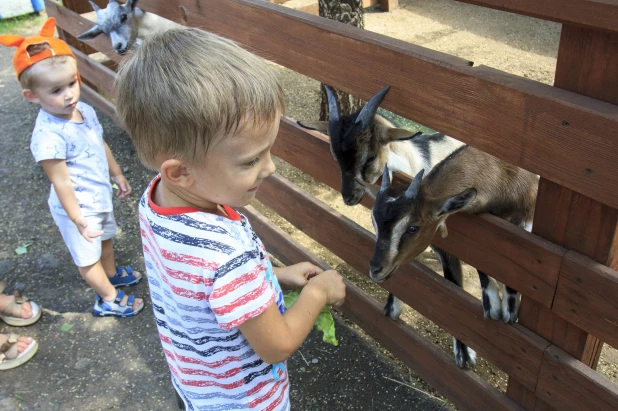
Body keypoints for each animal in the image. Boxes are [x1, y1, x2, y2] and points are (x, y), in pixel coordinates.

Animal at [360, 146, 536, 368]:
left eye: (412, 228)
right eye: (374, 223)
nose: (376, 268)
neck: (503, 175)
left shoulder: (524, 226)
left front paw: (508, 307)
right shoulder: (446, 245)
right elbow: (455, 288)